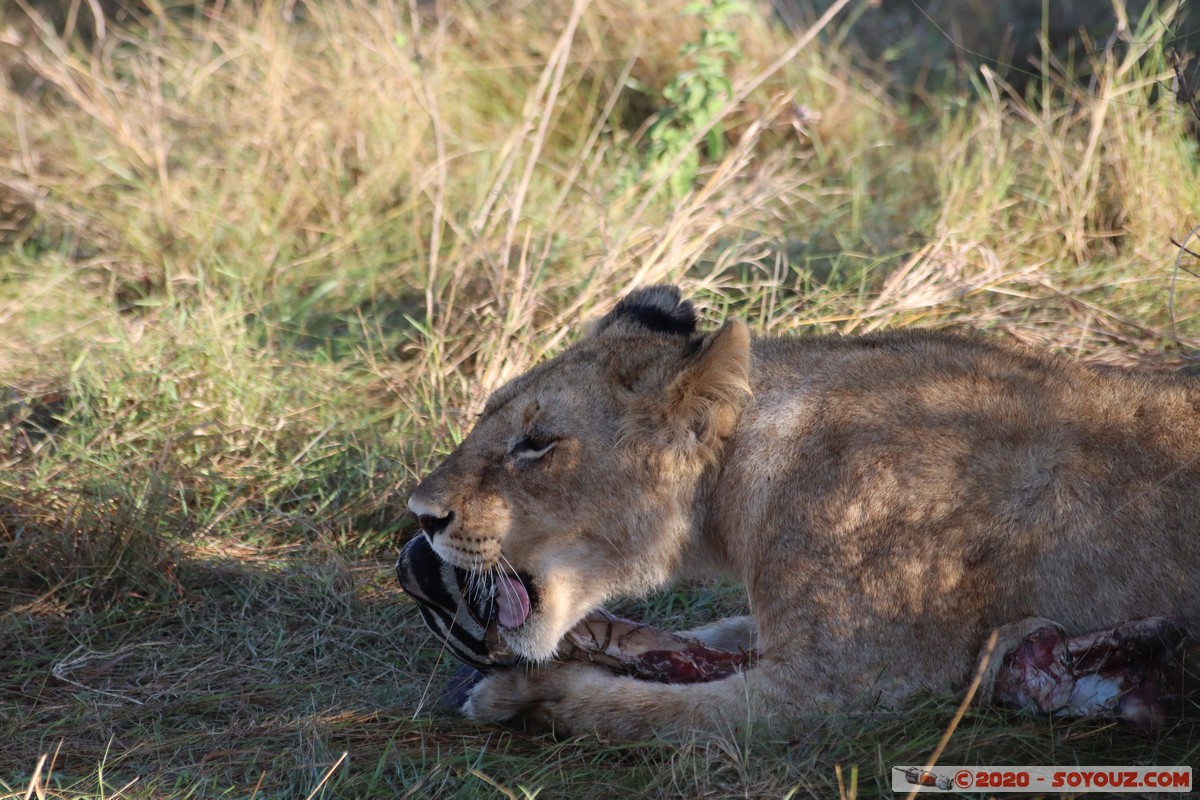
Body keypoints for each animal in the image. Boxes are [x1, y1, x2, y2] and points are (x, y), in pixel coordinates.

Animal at [405, 286, 1200, 738]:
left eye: (536, 443)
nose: (420, 517)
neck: (732, 495)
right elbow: (704, 638)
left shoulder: (843, 683)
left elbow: (641, 712)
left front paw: (520, 695)